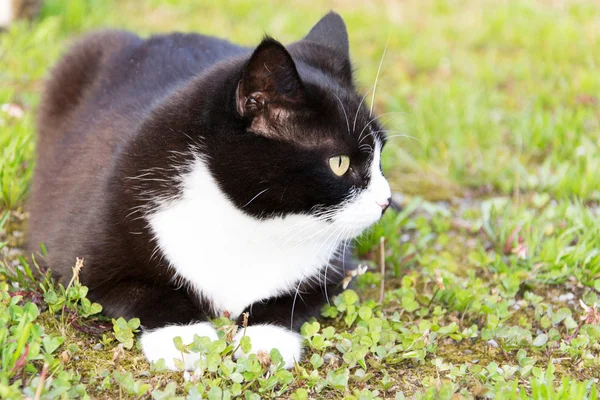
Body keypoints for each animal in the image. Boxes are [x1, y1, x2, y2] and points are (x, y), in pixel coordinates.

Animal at [29, 11, 394, 368]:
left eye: (381, 152)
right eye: (339, 163)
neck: (250, 225)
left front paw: (264, 336)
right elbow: (141, 289)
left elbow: (298, 294)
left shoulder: (337, 267)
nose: (386, 201)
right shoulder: (88, 248)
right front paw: (183, 336)